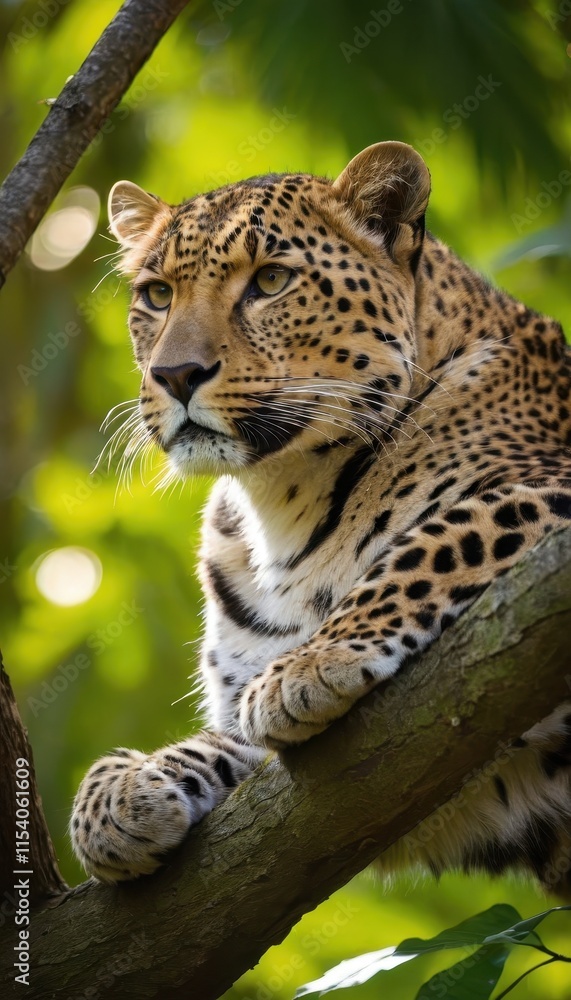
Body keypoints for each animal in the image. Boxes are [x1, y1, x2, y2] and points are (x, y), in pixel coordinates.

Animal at [71, 140, 571, 894]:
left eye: (271, 281)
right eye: (157, 295)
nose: (176, 374)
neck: (279, 499)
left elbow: (442, 536)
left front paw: (316, 660)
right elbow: (230, 741)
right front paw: (119, 790)